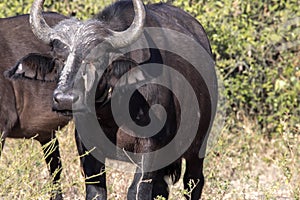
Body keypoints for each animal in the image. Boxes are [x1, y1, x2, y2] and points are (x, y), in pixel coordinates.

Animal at [8, 0, 217, 199]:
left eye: (98, 59)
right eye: (59, 58)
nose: (65, 99)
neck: (113, 111)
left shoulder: (151, 146)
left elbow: (136, 191)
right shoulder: (87, 145)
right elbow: (96, 191)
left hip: (198, 147)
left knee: (193, 182)